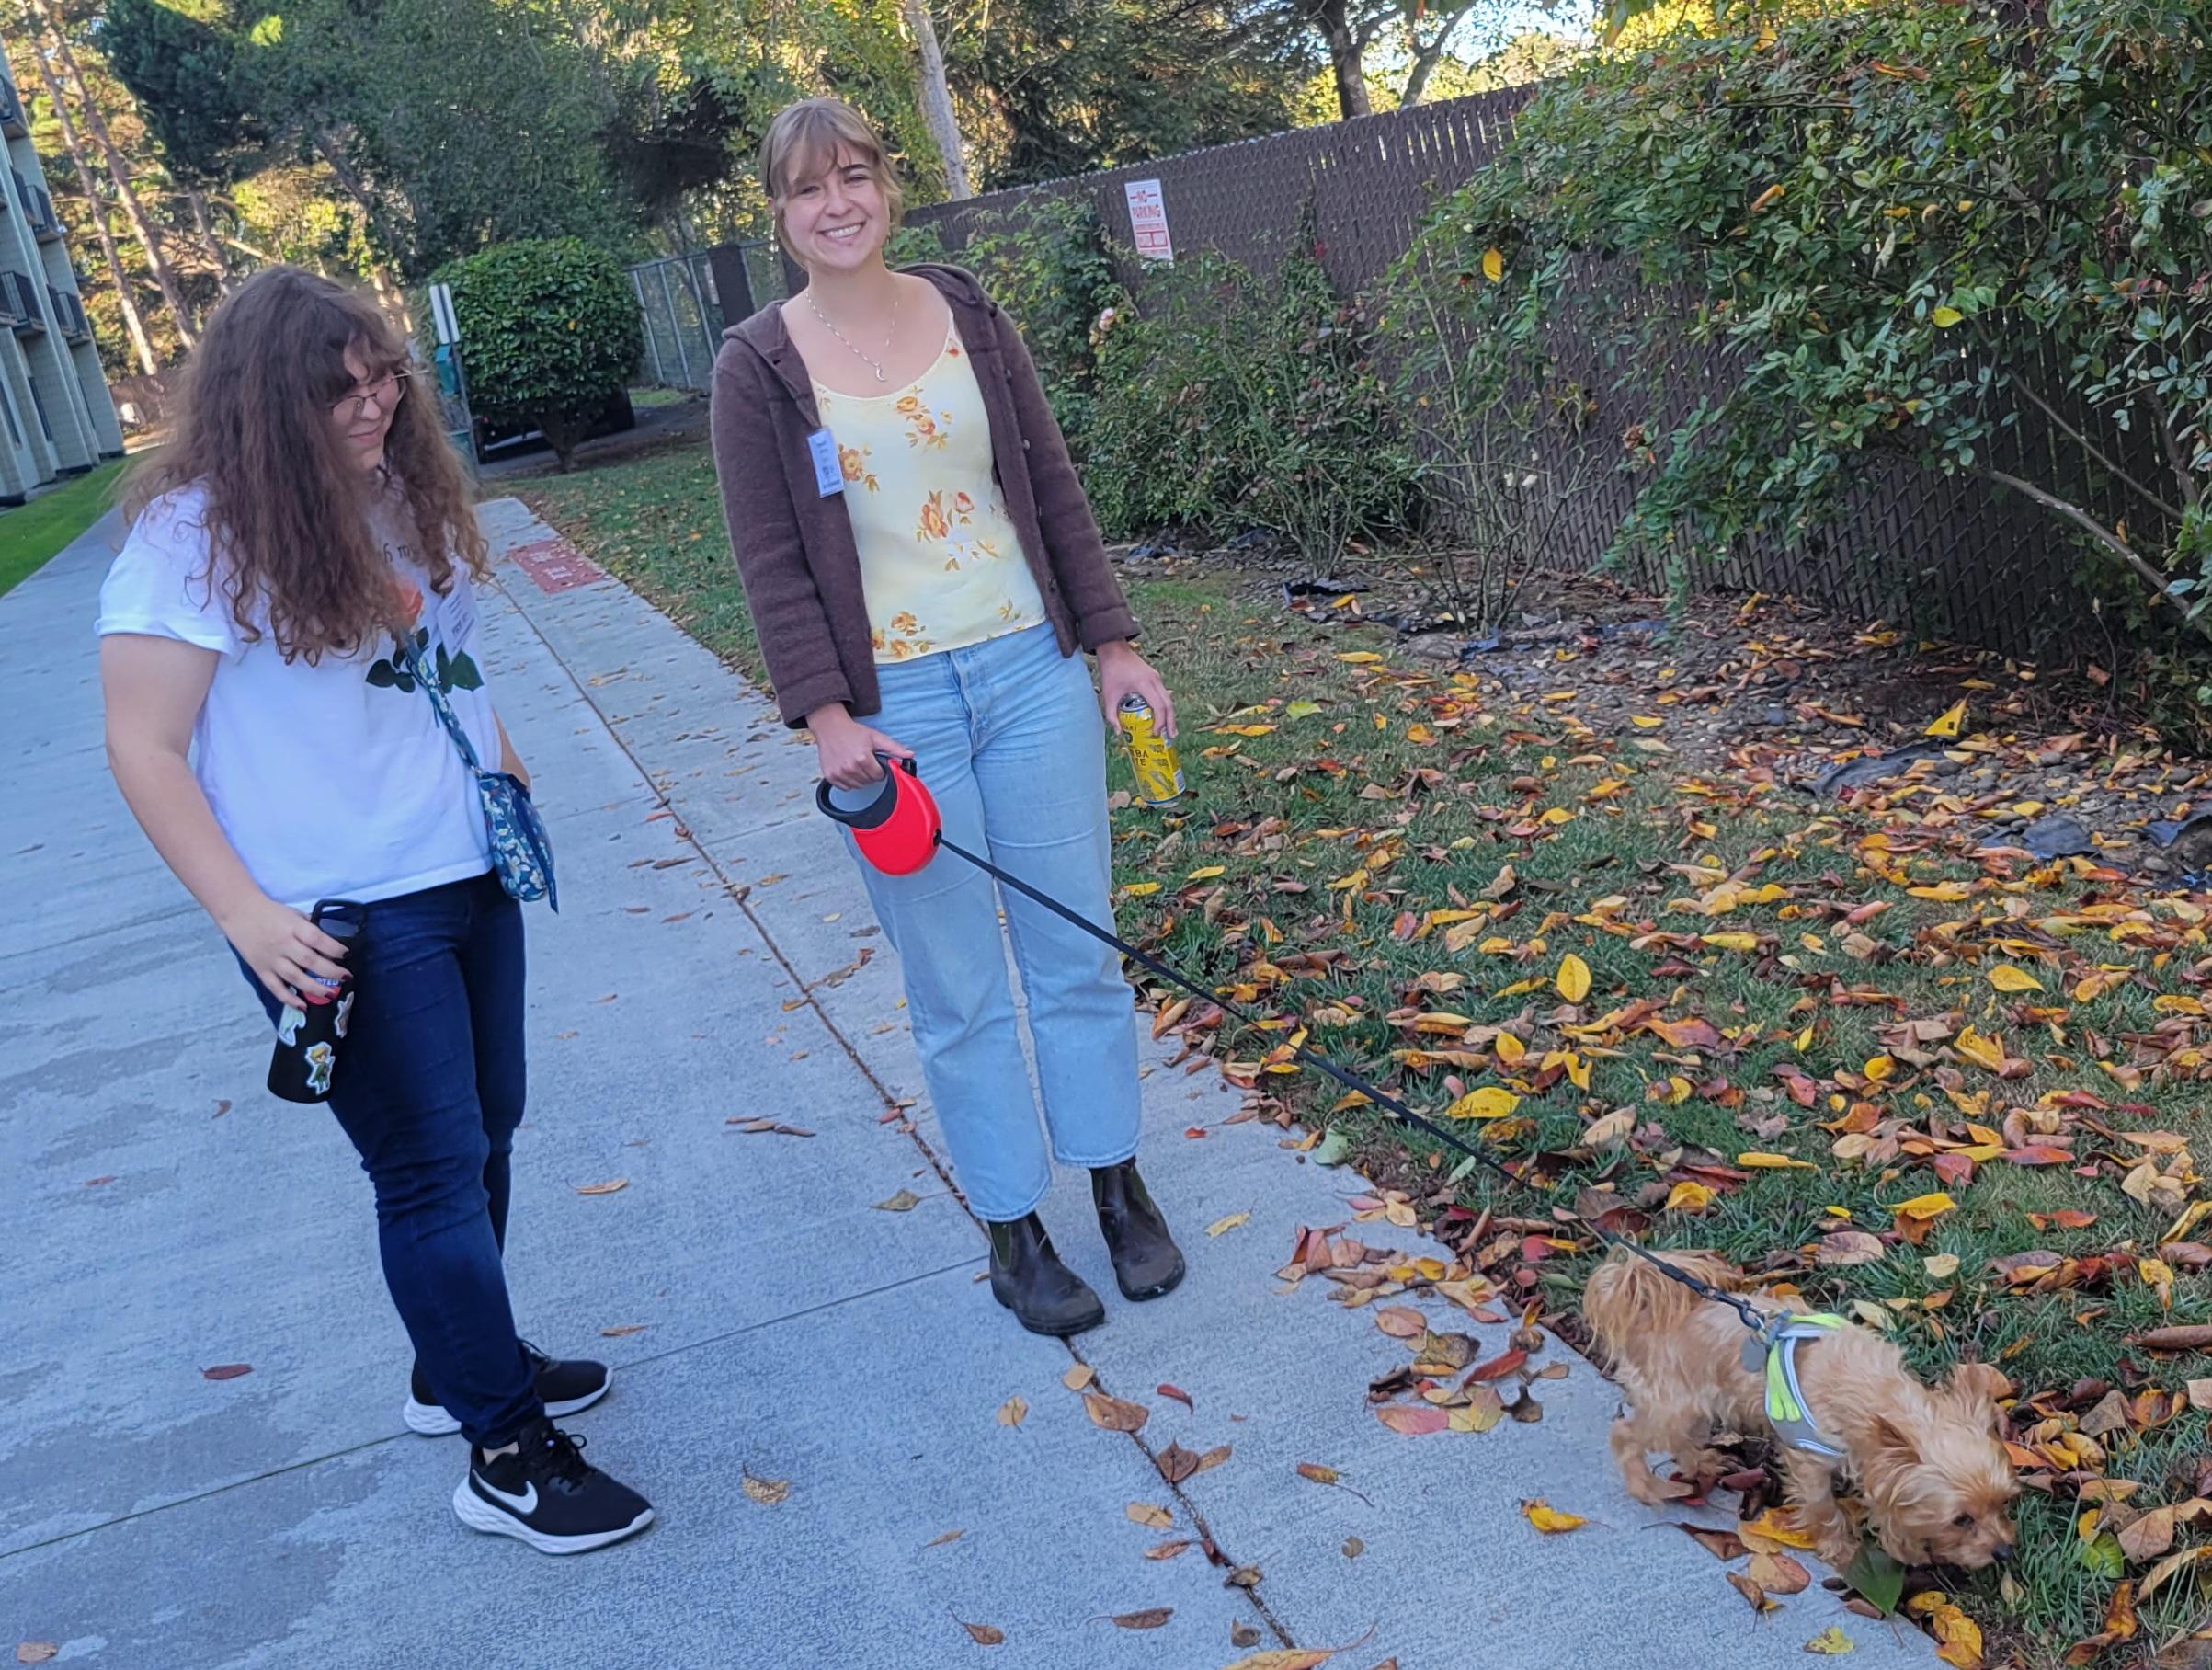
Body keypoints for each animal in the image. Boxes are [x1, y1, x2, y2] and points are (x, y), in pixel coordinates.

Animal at [1583, 1247, 2017, 1574]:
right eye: (1962, 1519)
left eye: (2004, 1504)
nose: (2004, 1551)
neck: (1872, 1392)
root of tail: (1643, 1303)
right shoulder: (1810, 1459)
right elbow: (1825, 1508)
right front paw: (1845, 1550)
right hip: (1675, 1406)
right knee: (1625, 1435)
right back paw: (1649, 1488)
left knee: (1679, 1441)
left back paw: (1701, 1464)